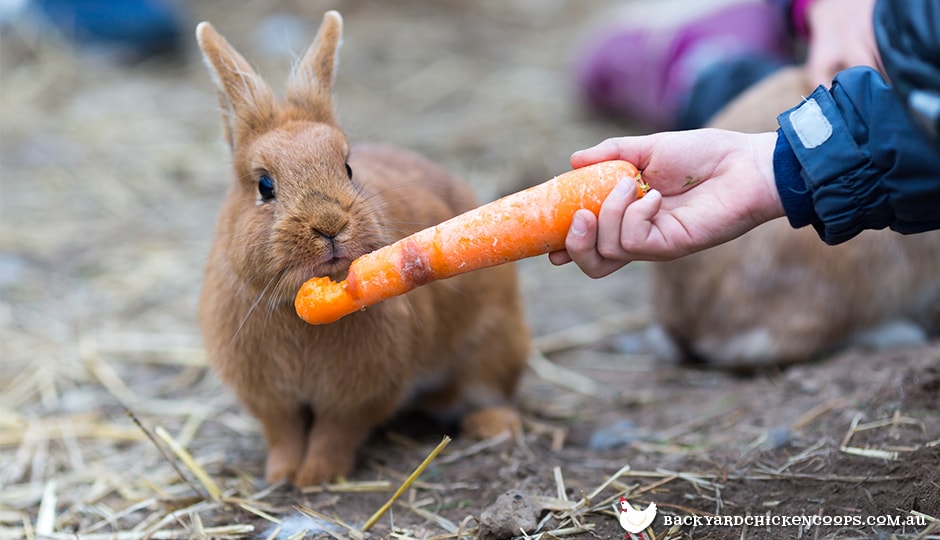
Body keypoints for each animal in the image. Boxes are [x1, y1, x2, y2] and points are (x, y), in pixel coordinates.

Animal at [196, 11, 530, 486]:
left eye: (348, 168)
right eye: (264, 186)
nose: (330, 225)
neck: (302, 309)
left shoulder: (358, 397)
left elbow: (334, 433)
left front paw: (316, 475)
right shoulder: (271, 401)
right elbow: (284, 433)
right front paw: (282, 474)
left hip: (492, 343)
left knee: (489, 389)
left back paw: (492, 426)